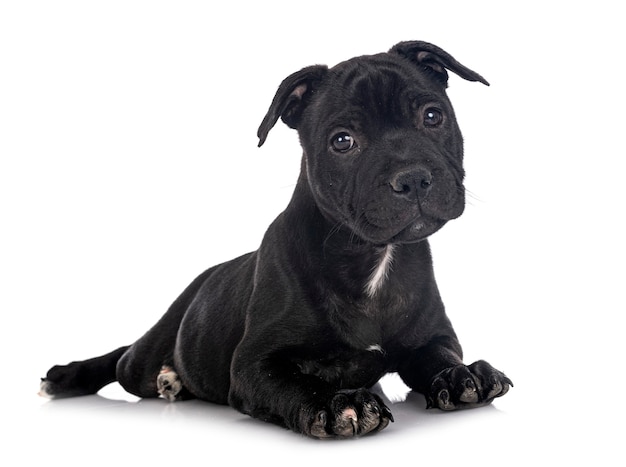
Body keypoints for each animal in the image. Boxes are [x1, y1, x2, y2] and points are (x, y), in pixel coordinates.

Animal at [39, 40, 510, 438]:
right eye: (343, 142)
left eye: (432, 116)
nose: (412, 178)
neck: (371, 258)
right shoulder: (254, 364)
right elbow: (296, 384)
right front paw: (338, 404)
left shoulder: (433, 336)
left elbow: (438, 357)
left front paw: (463, 375)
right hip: (147, 355)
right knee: (123, 357)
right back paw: (77, 376)